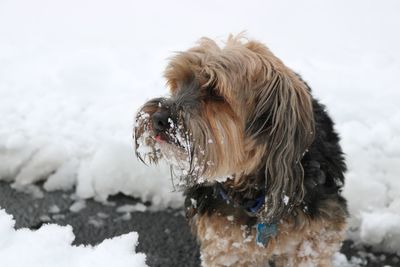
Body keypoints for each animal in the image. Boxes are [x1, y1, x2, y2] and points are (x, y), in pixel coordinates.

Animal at [134, 34, 346, 266]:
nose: (158, 119)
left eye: (215, 92)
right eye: (178, 82)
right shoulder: (226, 241)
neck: (254, 191)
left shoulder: (315, 237)